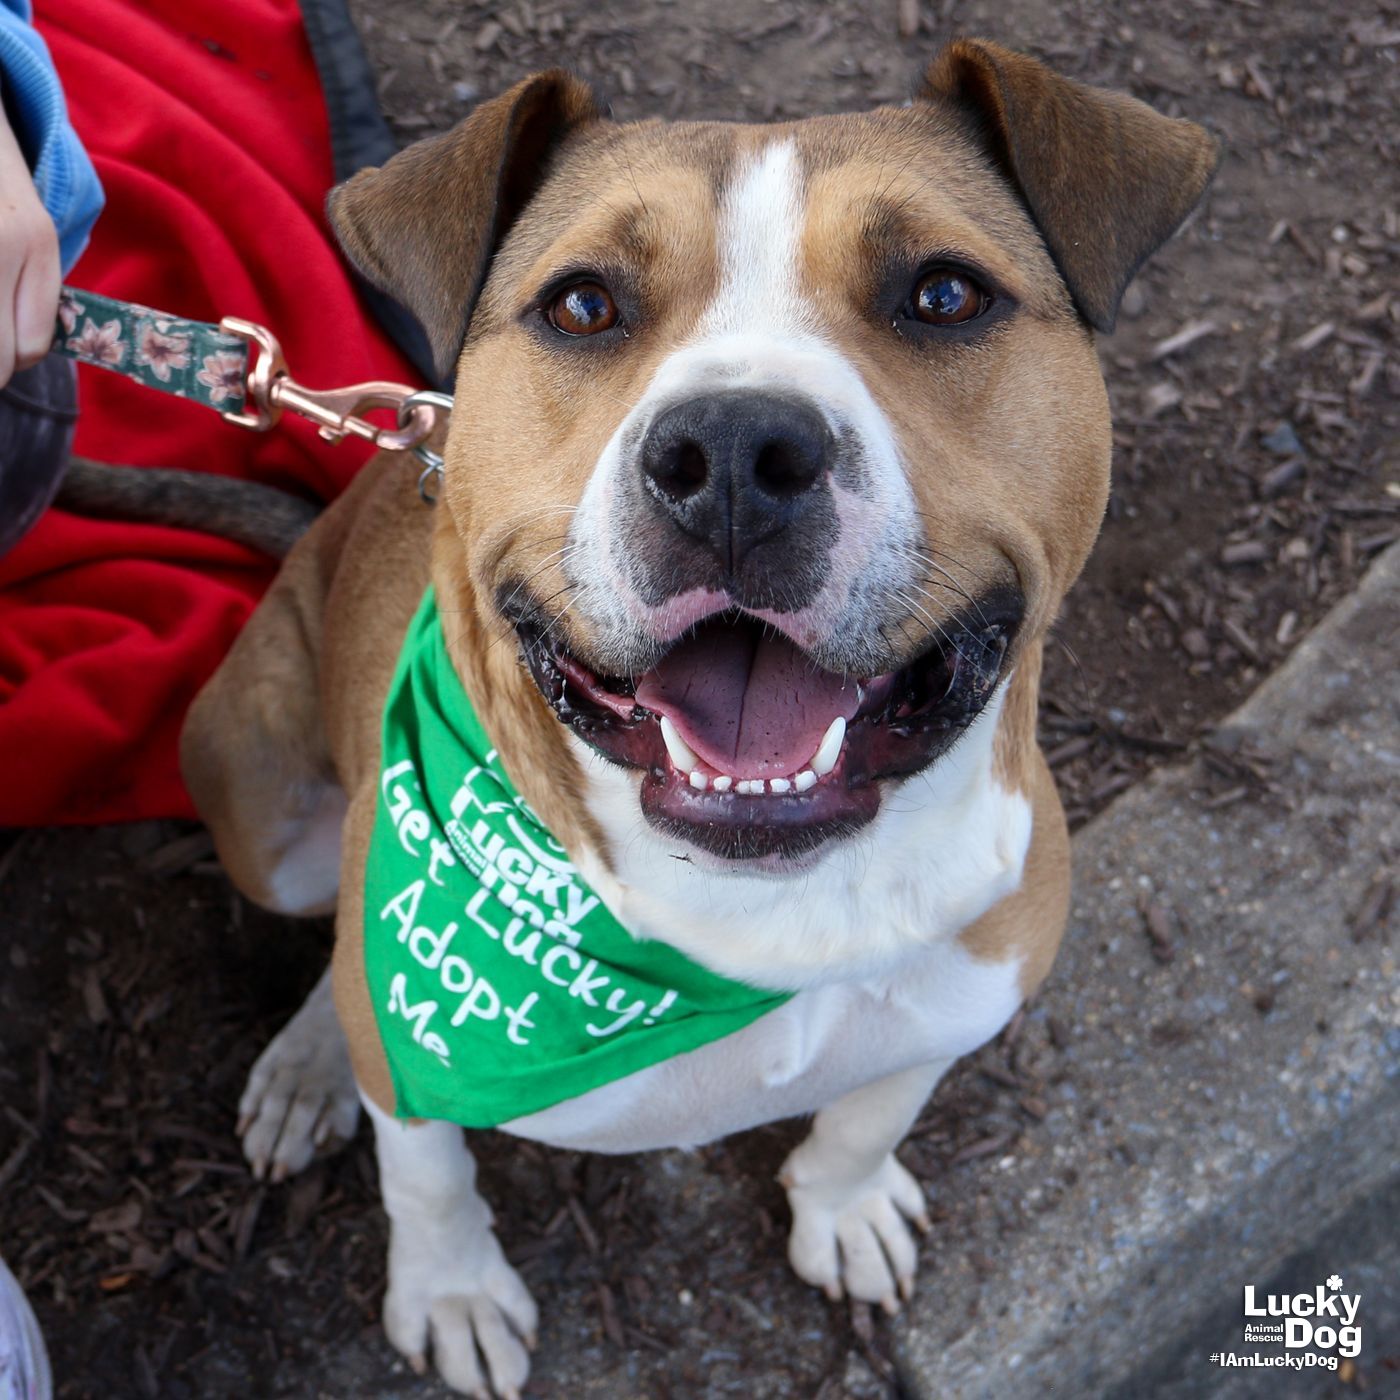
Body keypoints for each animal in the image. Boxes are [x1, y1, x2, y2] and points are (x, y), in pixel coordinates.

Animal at [183, 40, 1215, 1388]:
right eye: (581, 305)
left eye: (942, 294)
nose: (730, 451)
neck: (775, 904)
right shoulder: (413, 1049)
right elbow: (428, 1167)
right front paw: (451, 1290)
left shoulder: (966, 985)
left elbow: (869, 1110)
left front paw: (844, 1202)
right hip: (267, 811)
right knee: (333, 946)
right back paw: (311, 1060)